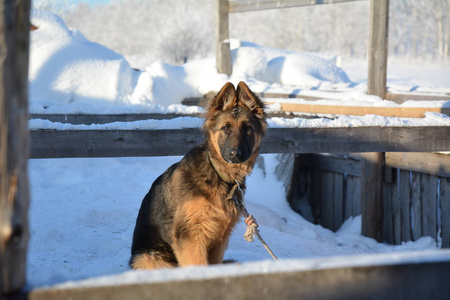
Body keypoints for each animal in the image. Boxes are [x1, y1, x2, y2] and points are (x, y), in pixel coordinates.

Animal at [128, 81, 266, 270]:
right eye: (225, 128)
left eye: (247, 129)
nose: (235, 154)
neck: (219, 175)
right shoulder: (191, 236)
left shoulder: (219, 239)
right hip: (148, 257)